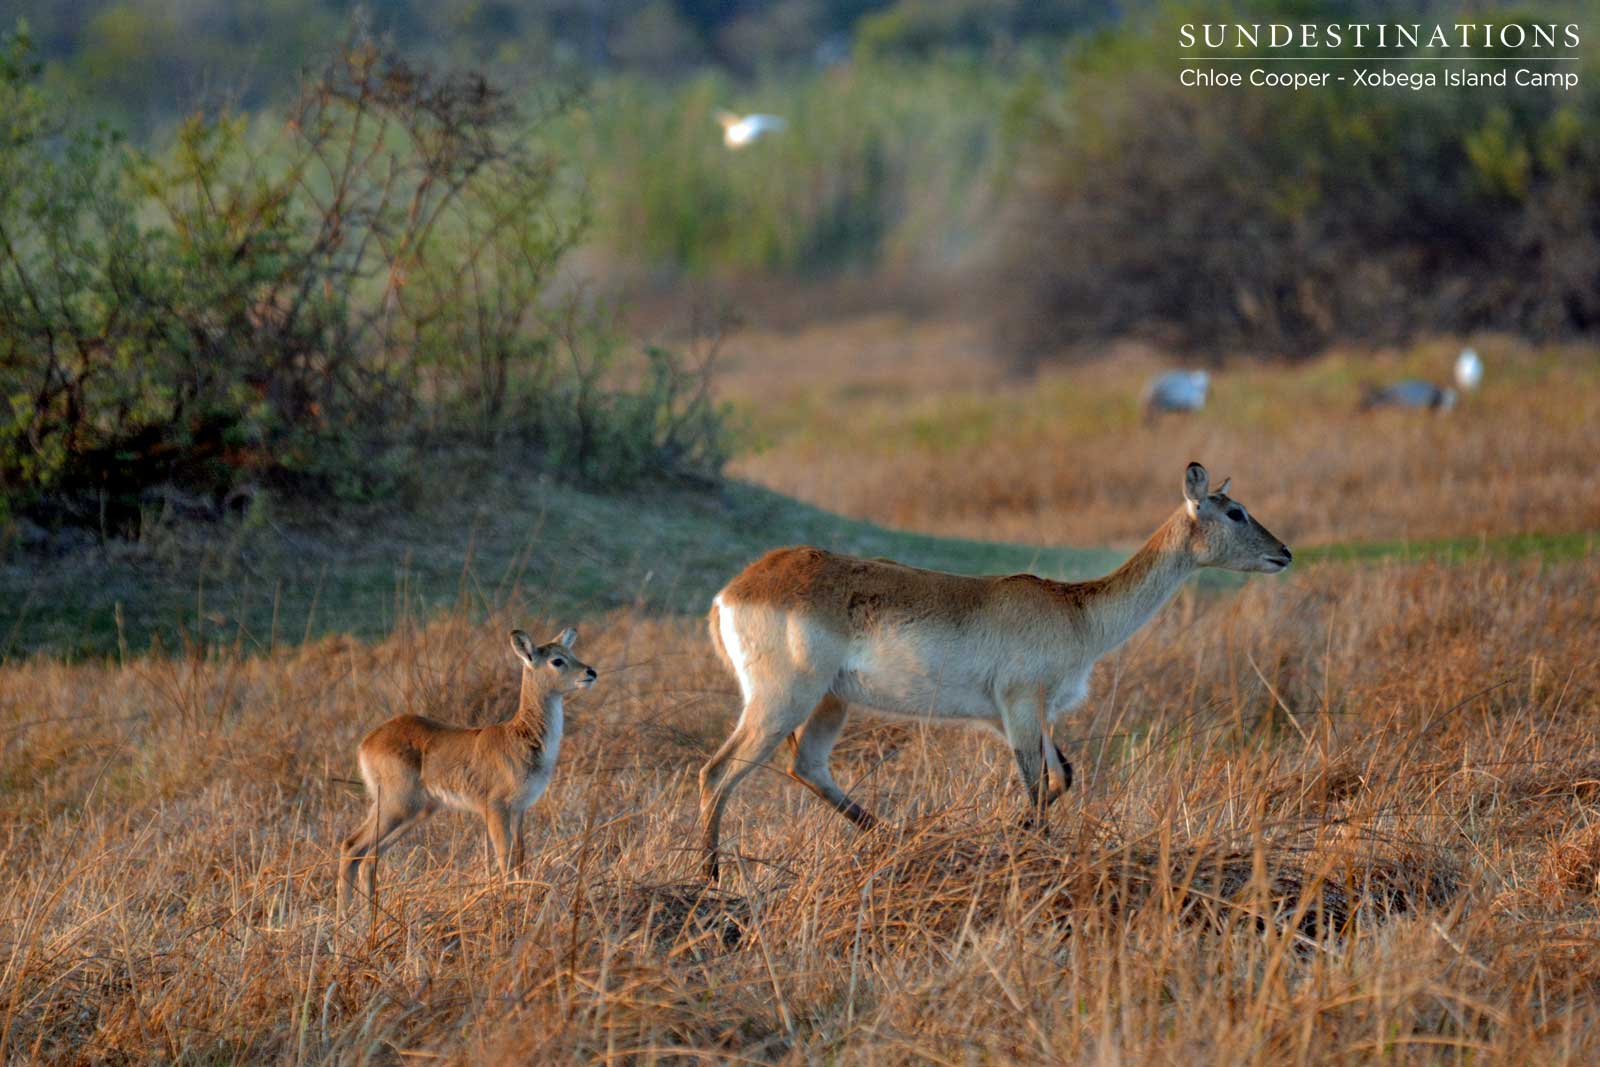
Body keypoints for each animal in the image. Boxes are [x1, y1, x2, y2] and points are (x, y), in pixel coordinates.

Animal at [697, 463, 1286, 883]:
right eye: (1235, 512)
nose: (1284, 553)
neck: (1077, 611)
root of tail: (734, 589)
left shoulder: (1022, 717)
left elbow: (1061, 777)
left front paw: (1016, 838)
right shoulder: (1021, 706)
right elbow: (1038, 784)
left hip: (829, 702)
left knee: (807, 766)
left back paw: (896, 841)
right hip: (782, 701)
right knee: (717, 772)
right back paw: (710, 880)